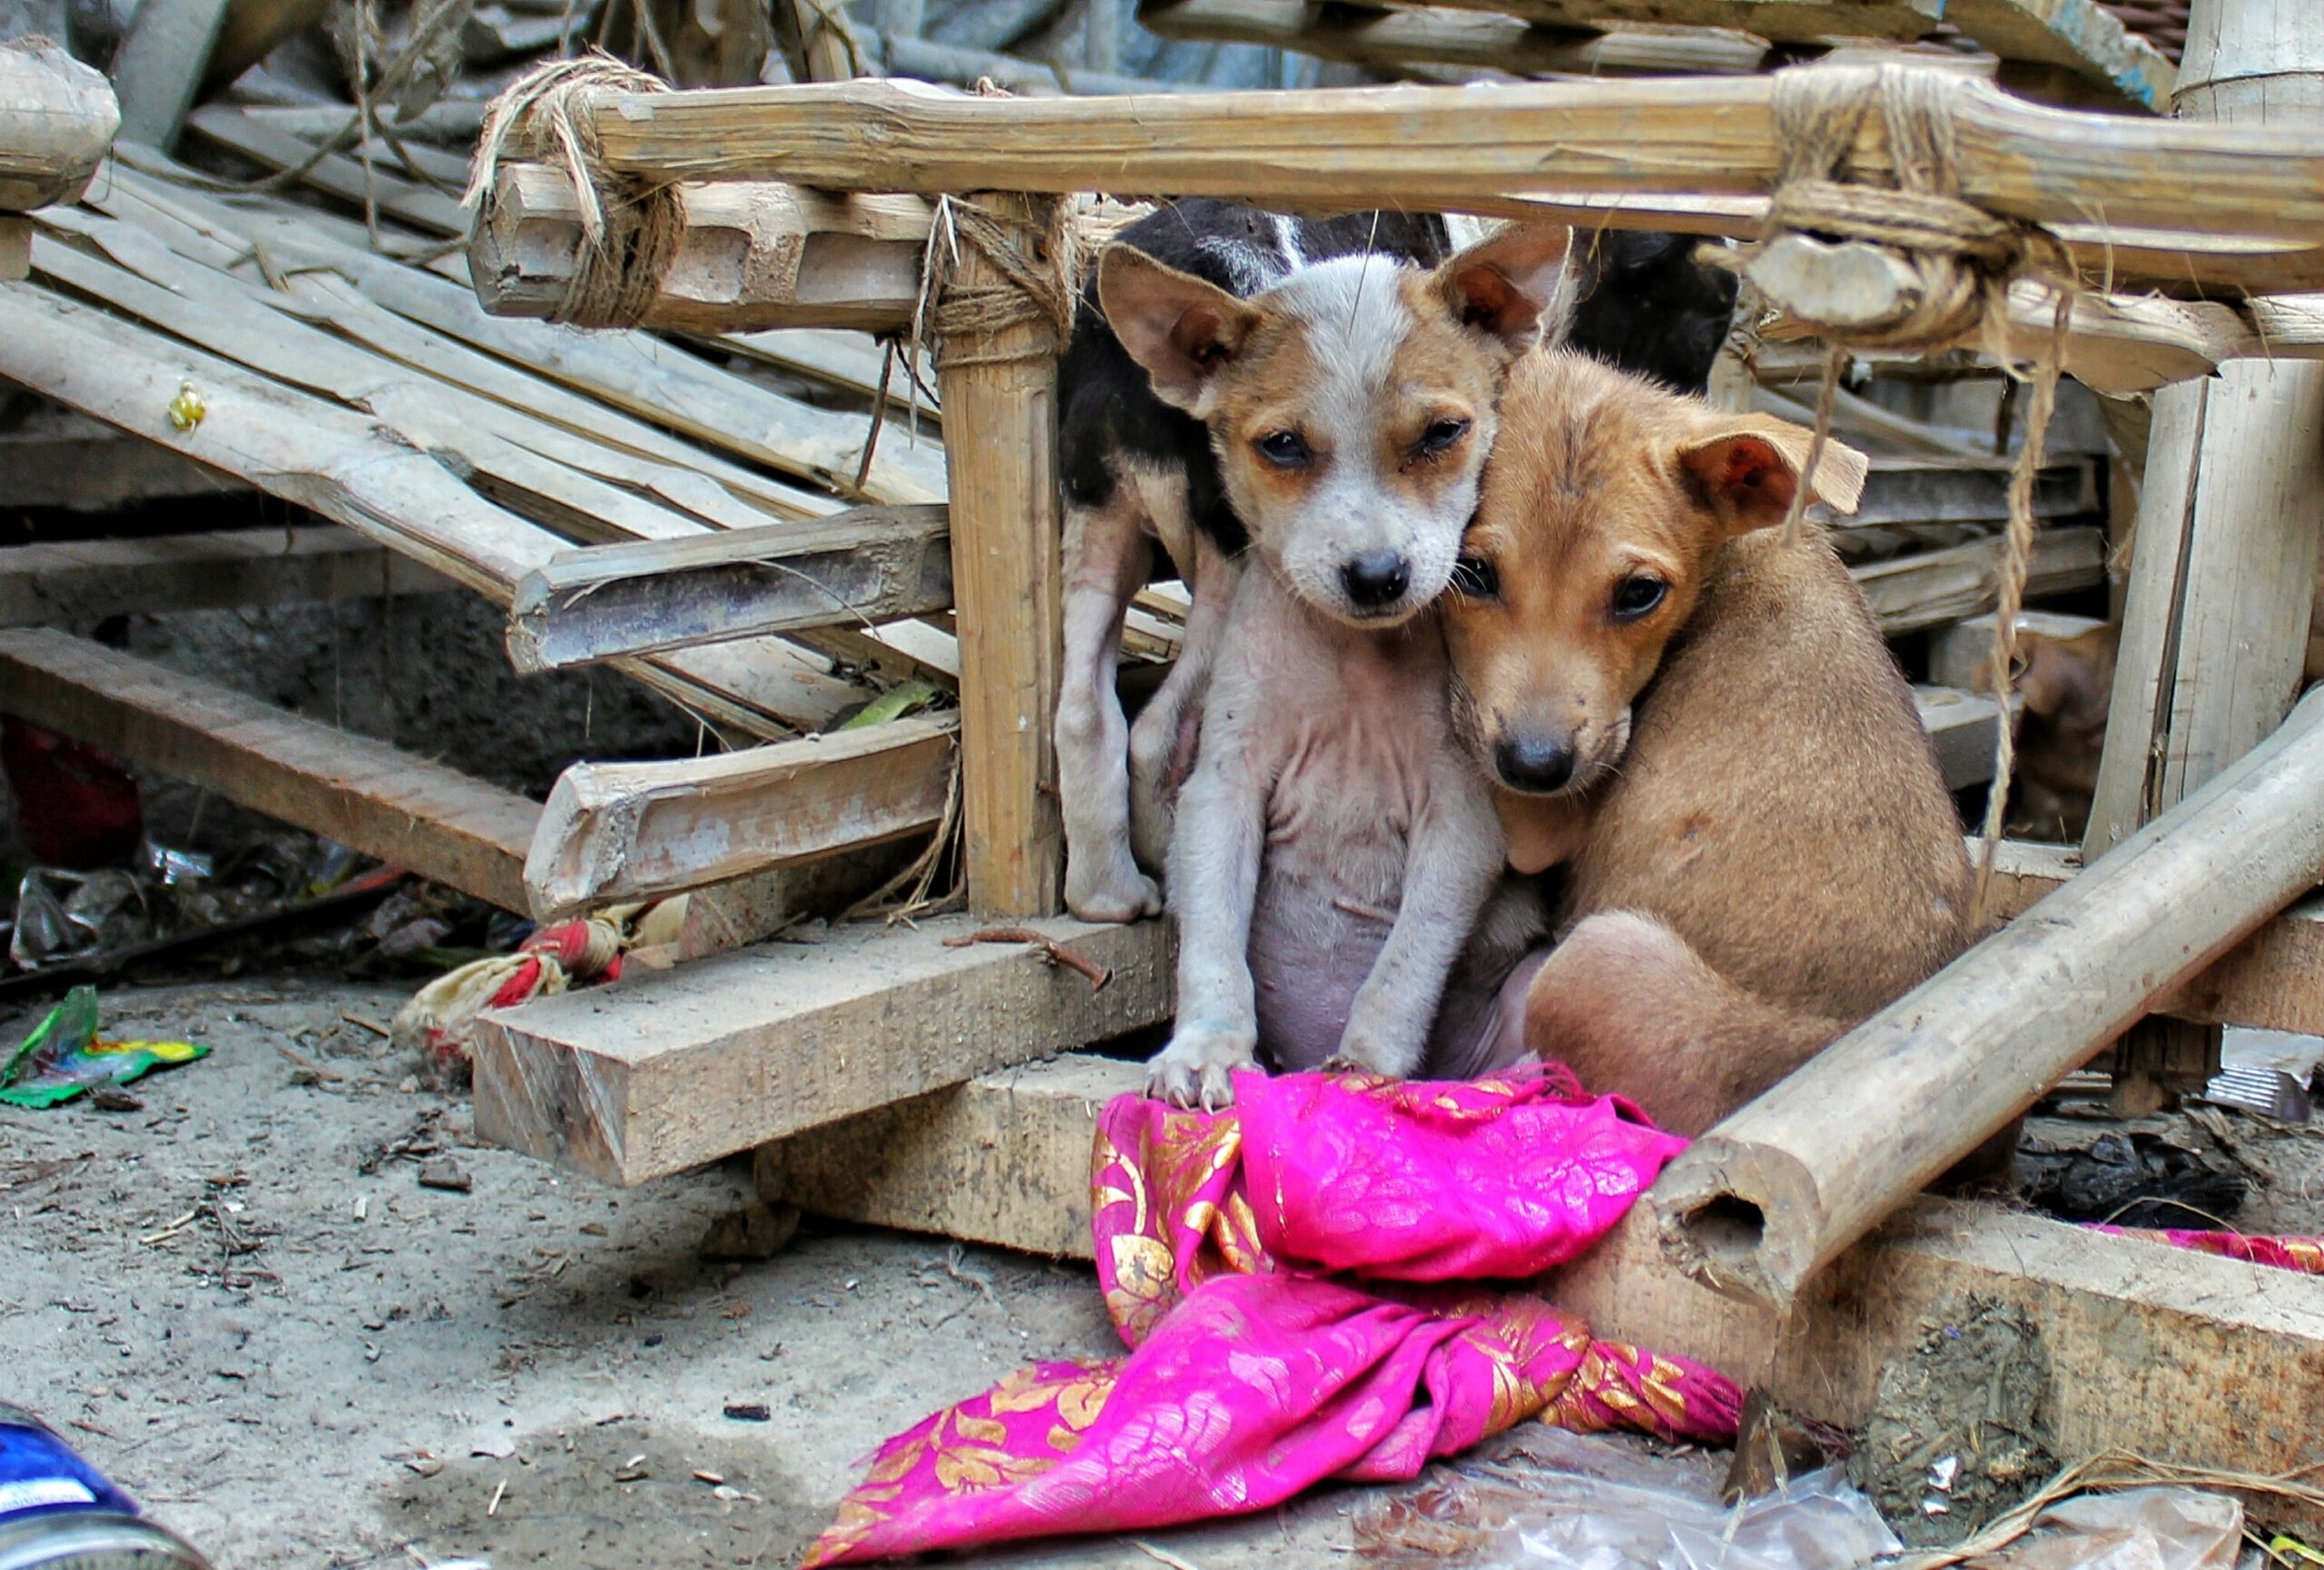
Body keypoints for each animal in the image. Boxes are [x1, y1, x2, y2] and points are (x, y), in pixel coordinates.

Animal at [1441, 353, 1970, 1144]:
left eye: (1639, 593)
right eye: (1471, 574)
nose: (1536, 766)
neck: (1739, 553)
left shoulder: (1543, 819)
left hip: (1593, 958)